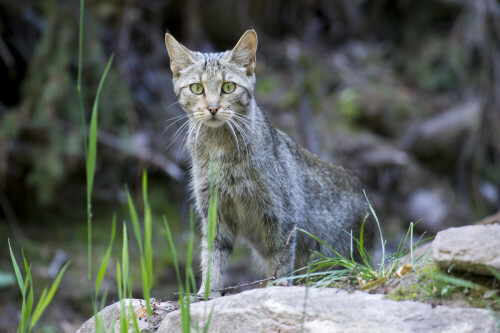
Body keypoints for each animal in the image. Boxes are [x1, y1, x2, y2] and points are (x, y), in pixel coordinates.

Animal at [166, 29, 374, 296]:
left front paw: (278, 284)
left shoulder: (280, 212)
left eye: (228, 87)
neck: (220, 147)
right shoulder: (214, 210)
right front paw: (207, 292)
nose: (212, 108)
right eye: (196, 88)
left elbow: (279, 255)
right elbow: (212, 254)